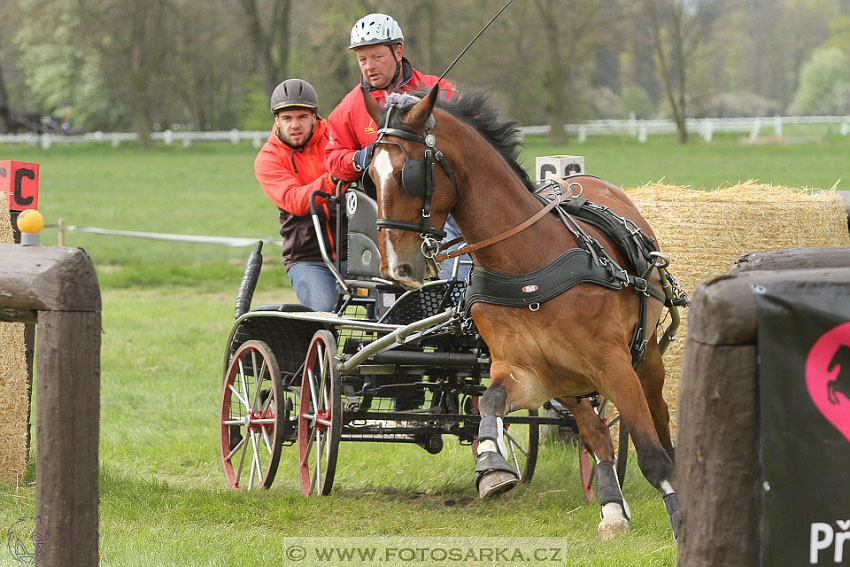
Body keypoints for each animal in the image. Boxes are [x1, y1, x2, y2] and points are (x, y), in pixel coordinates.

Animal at [362, 85, 680, 540]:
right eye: (370, 174)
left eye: (411, 173)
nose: (396, 268)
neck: (525, 264)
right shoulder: (524, 370)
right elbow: (490, 402)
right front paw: (492, 465)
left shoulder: (614, 365)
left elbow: (652, 454)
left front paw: (682, 519)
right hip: (568, 379)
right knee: (595, 433)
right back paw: (612, 509)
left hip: (644, 354)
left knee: (659, 417)